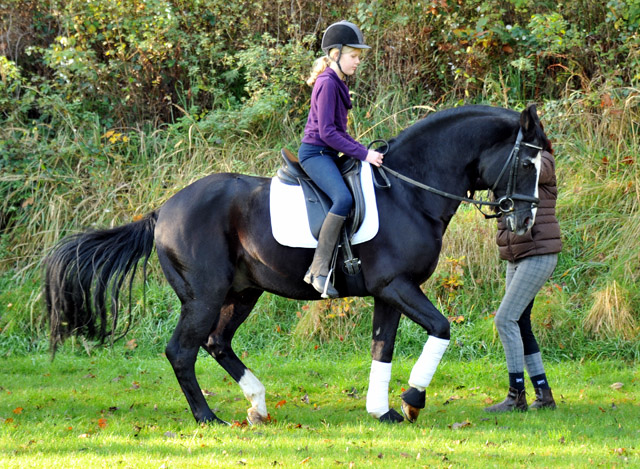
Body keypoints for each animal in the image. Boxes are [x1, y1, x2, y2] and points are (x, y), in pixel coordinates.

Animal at [43, 105, 552, 424]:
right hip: (204, 296)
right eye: (529, 164)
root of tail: (161, 211)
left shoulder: (388, 292)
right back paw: (208, 417)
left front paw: (382, 410)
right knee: (182, 351)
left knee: (216, 343)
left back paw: (258, 404)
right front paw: (411, 400)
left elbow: (382, 348)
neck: (410, 191)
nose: (525, 221)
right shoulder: (398, 285)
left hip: (242, 293)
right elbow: (442, 328)